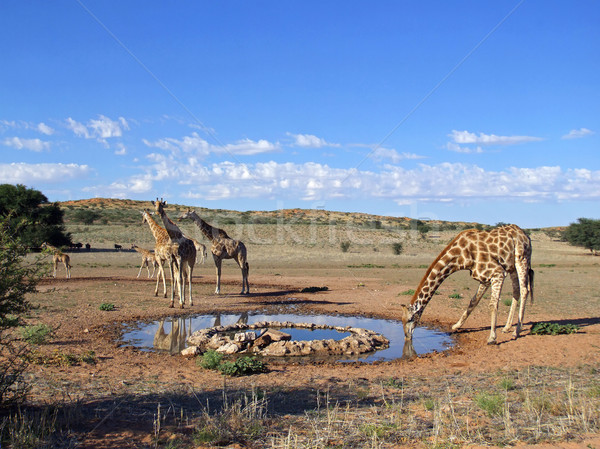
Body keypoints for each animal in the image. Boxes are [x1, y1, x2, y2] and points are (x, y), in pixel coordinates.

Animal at [398, 223, 536, 344]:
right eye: (401, 320)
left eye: (410, 319)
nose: (407, 337)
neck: (461, 257)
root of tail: (526, 236)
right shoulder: (484, 278)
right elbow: (473, 301)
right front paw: (456, 326)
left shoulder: (497, 272)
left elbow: (492, 304)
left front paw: (492, 338)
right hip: (511, 267)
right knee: (516, 291)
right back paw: (507, 327)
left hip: (522, 258)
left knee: (524, 290)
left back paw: (516, 332)